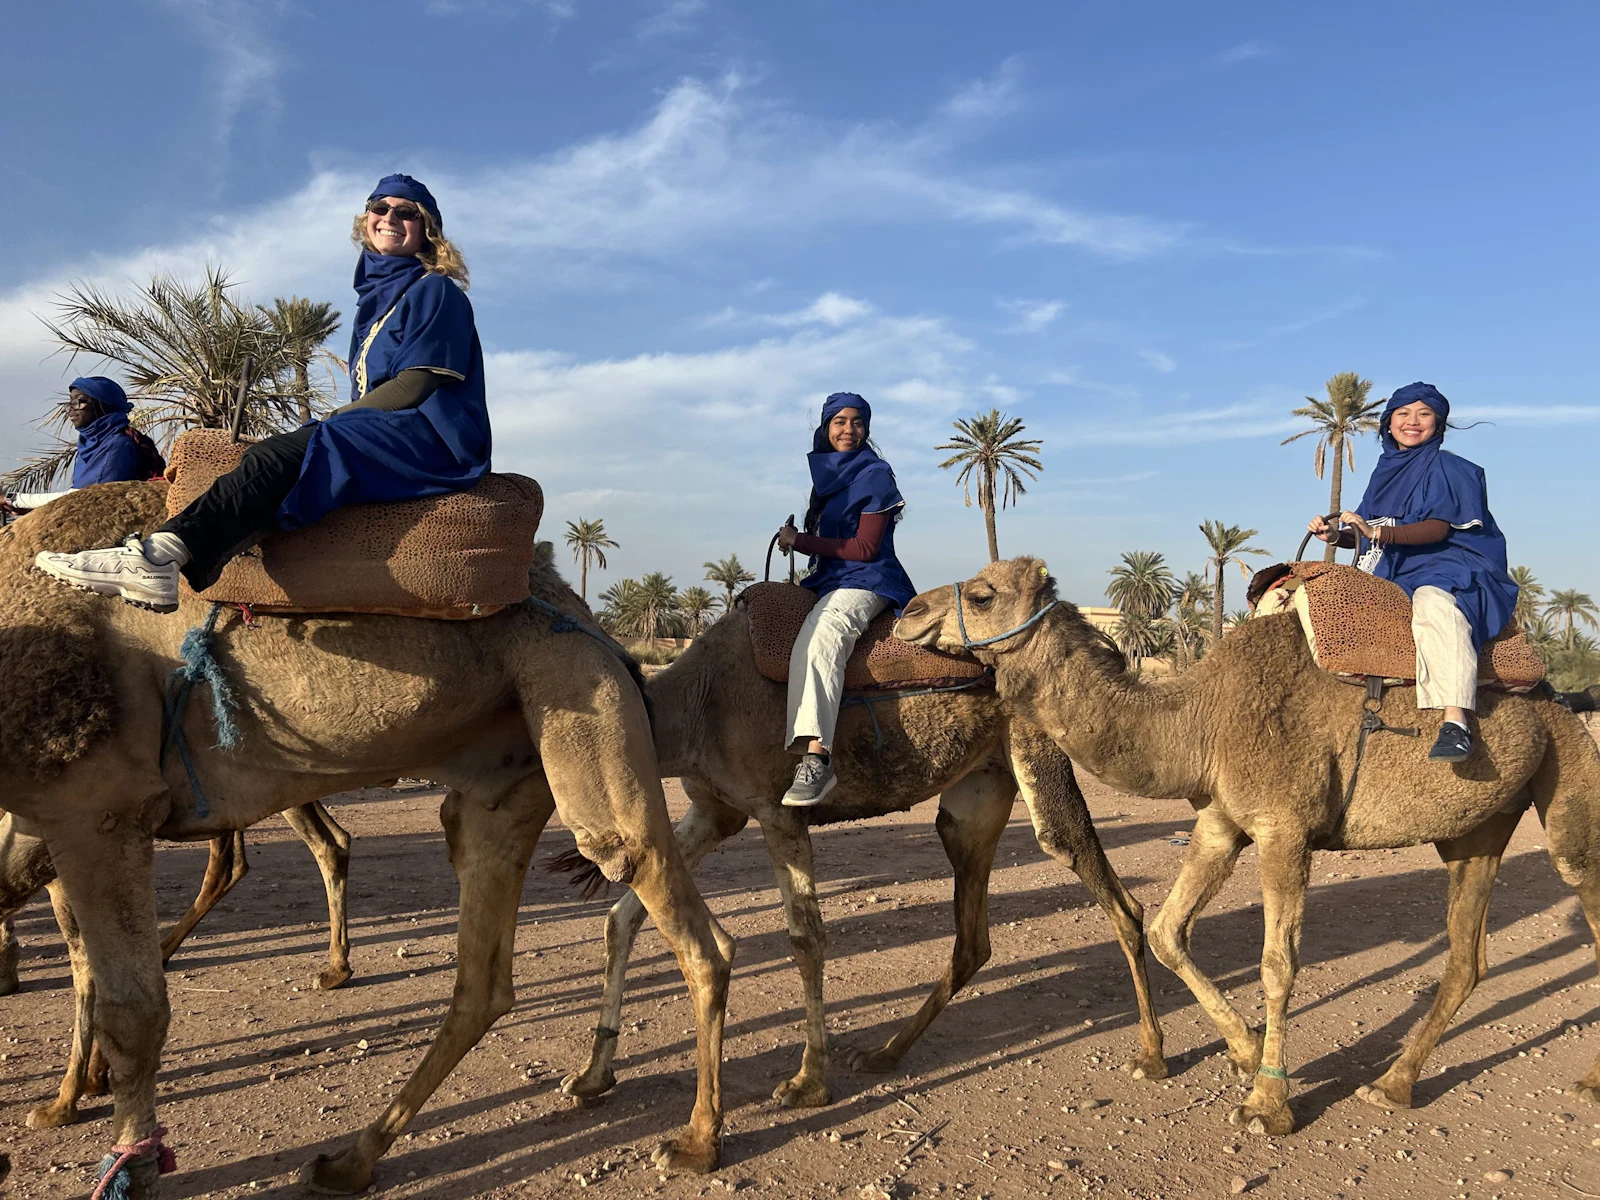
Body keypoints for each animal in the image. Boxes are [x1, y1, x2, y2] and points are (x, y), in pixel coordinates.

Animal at [560, 588, 1166, 1113]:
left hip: (1038, 747)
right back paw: (883, 1053)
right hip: (978, 792)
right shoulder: (714, 812)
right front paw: (591, 1076)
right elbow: (623, 917)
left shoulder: (777, 811)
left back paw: (1153, 1054)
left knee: (1112, 894)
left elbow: (806, 939)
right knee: (972, 937)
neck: (695, 705)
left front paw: (806, 1083)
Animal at [895, 558, 1600, 1137]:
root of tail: (1552, 690)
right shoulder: (1220, 821)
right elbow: (1167, 931)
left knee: (1578, 873)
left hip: (1568, 766)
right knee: (1467, 957)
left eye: (982, 595)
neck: (1198, 719)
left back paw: (1586, 1083)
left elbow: (1278, 963)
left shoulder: (1284, 828)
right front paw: (1241, 1049)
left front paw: (1268, 1103)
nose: (909, 614)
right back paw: (1393, 1085)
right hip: (1477, 828)